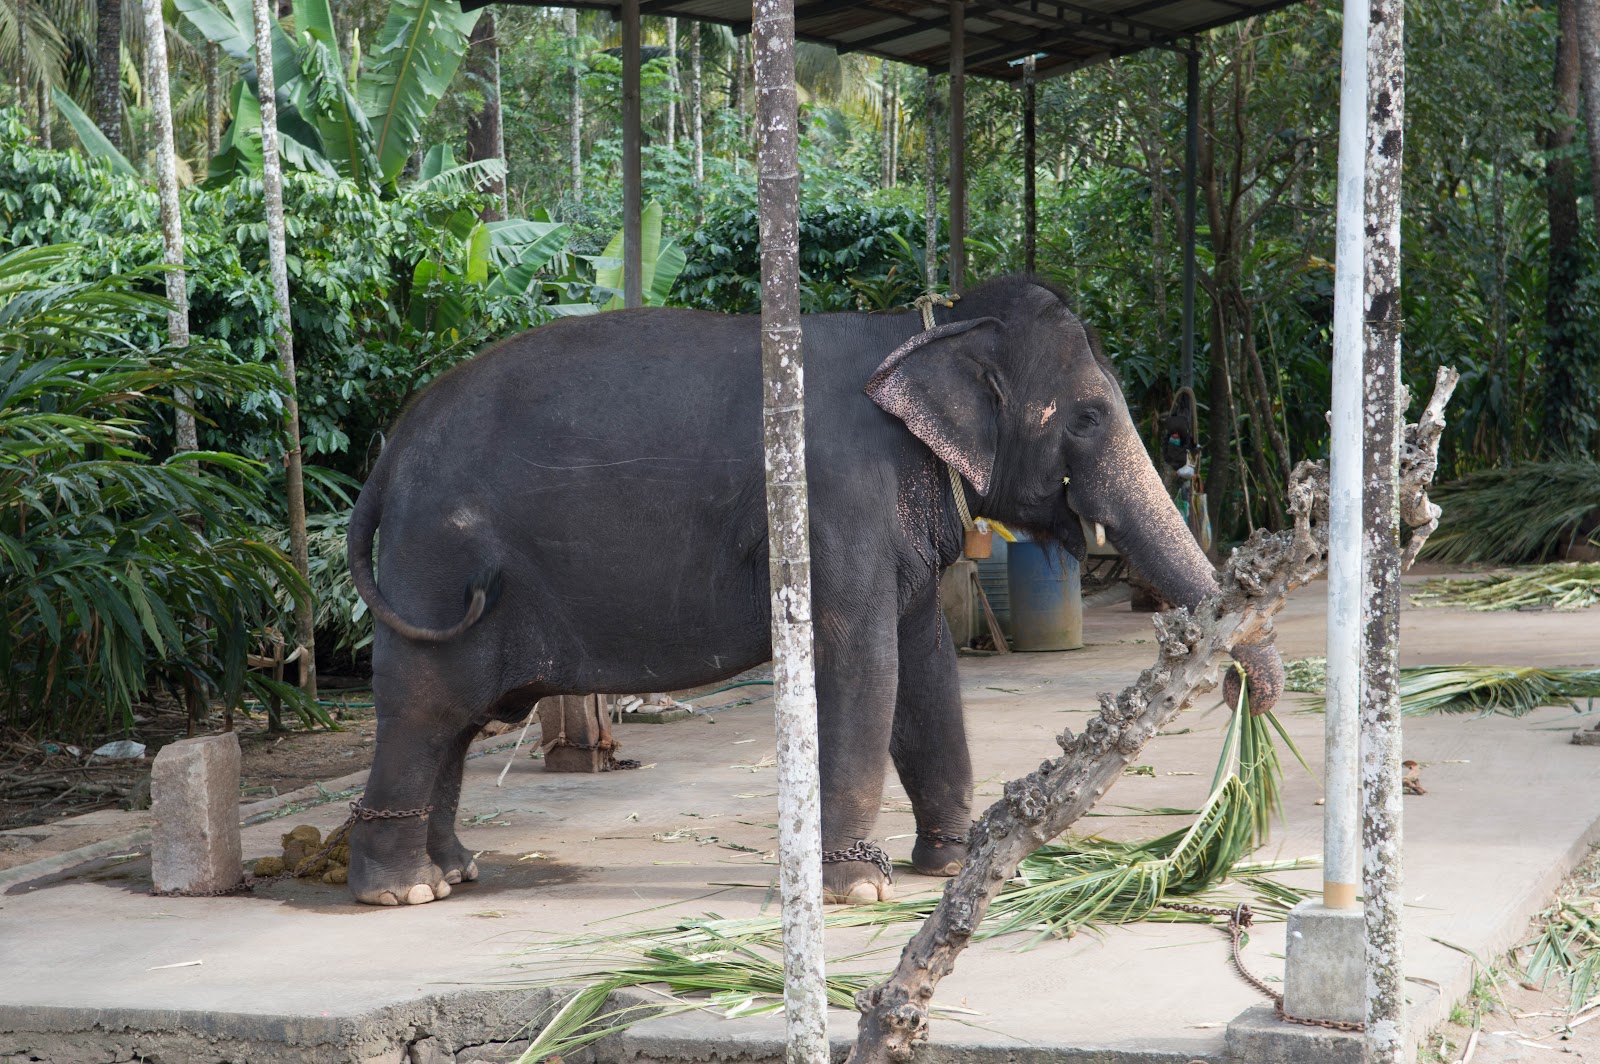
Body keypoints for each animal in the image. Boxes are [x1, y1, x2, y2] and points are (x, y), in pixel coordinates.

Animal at [345, 275, 1285, 907]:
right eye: (1089, 416)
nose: (1251, 699)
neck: (918, 329)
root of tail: (390, 451)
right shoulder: (835, 495)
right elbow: (861, 659)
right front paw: (855, 893)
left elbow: (925, 662)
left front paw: (954, 861)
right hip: (439, 564)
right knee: (429, 704)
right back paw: (402, 891)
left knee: (459, 721)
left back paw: (454, 872)